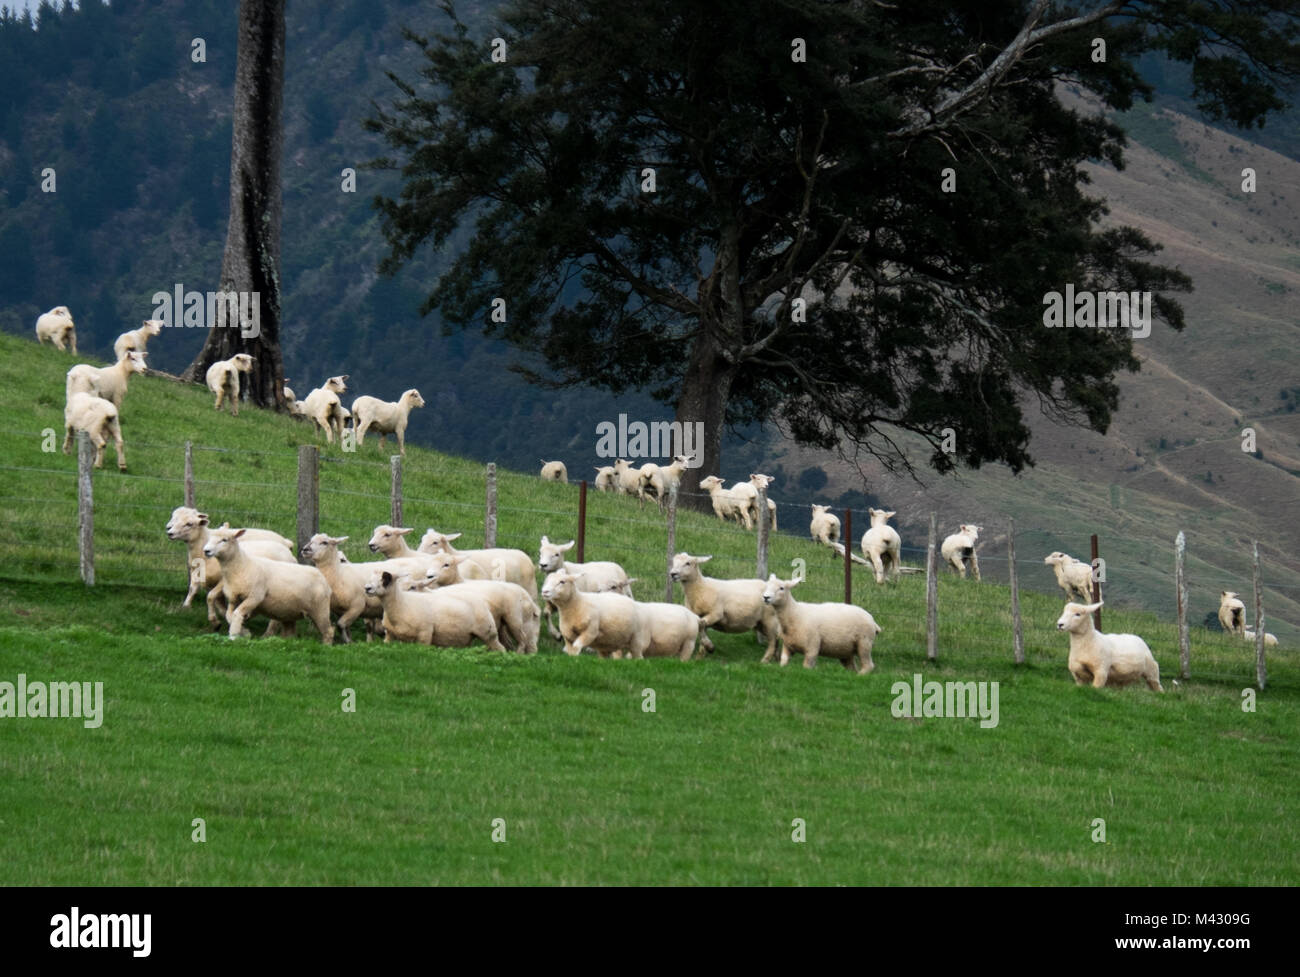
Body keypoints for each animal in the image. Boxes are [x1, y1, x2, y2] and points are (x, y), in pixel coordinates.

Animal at [165, 506, 294, 625]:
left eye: (189, 524)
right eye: (174, 517)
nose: (169, 532)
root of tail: (286, 543)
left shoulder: (223, 581)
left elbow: (211, 597)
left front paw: (215, 619)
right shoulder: (201, 576)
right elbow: (195, 590)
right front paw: (187, 607)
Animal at [202, 527, 333, 643]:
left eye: (224, 540)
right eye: (210, 538)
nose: (206, 551)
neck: (242, 566)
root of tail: (322, 577)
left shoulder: (255, 597)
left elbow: (237, 614)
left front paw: (233, 636)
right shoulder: (233, 598)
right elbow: (229, 615)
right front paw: (244, 631)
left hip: (320, 609)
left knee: (328, 631)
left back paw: (326, 646)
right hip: (290, 611)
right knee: (290, 632)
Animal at [365, 568, 504, 650]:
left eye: (385, 579)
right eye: (370, 579)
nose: (367, 588)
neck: (402, 604)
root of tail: (482, 601)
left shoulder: (425, 634)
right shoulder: (389, 636)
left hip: (488, 632)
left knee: (500, 648)